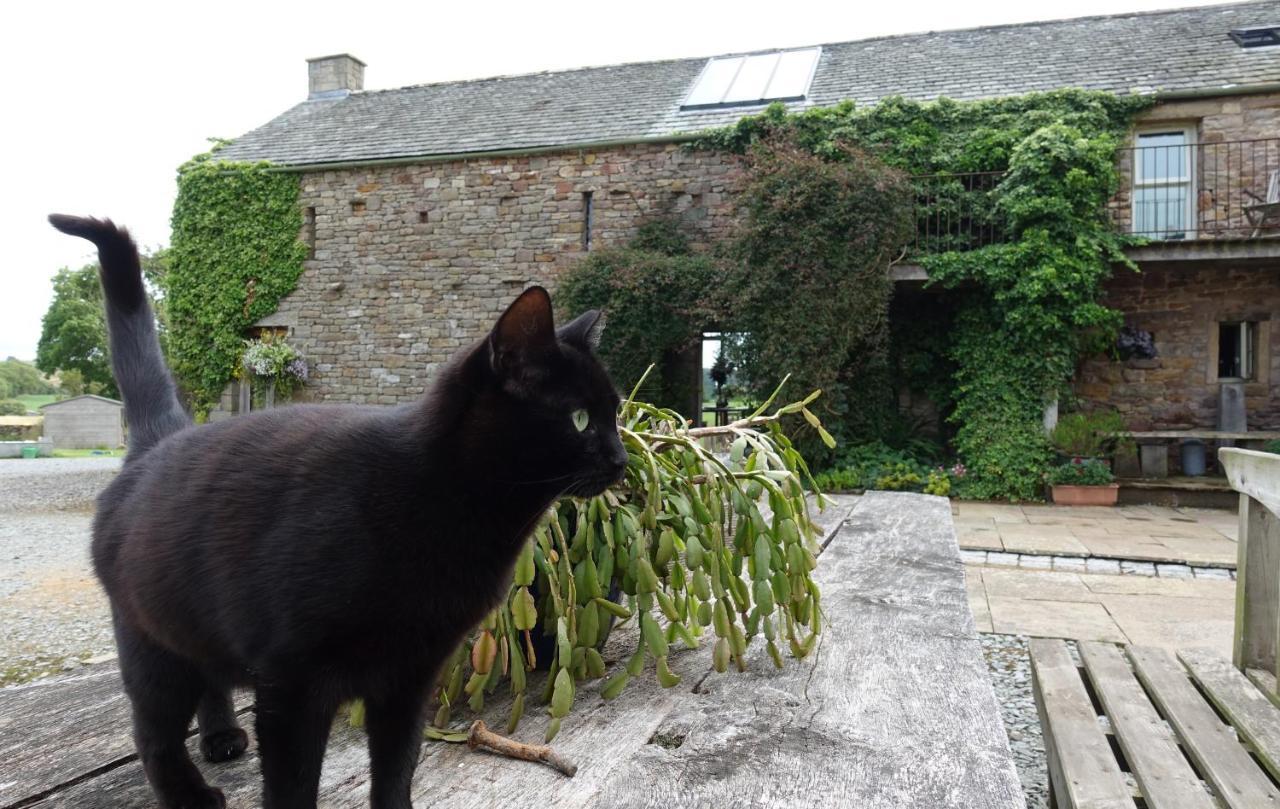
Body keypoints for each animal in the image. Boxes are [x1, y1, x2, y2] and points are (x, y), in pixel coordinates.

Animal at [49, 215, 629, 809]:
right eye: (581, 419)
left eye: (614, 413)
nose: (622, 458)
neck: (455, 506)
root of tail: (158, 440)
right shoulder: (294, 683)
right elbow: (293, 784)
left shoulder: (409, 676)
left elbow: (398, 765)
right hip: (152, 640)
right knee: (152, 732)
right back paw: (190, 794)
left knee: (208, 681)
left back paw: (221, 735)